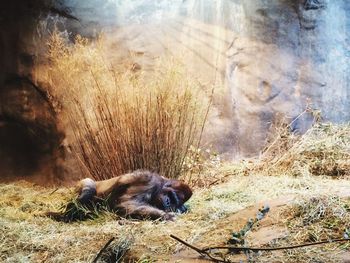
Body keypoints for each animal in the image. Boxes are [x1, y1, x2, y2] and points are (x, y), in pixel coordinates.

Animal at [46, 171, 191, 223]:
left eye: (174, 202)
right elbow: (126, 204)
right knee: (89, 187)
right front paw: (165, 215)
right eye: (171, 196)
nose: (168, 203)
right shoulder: (149, 180)